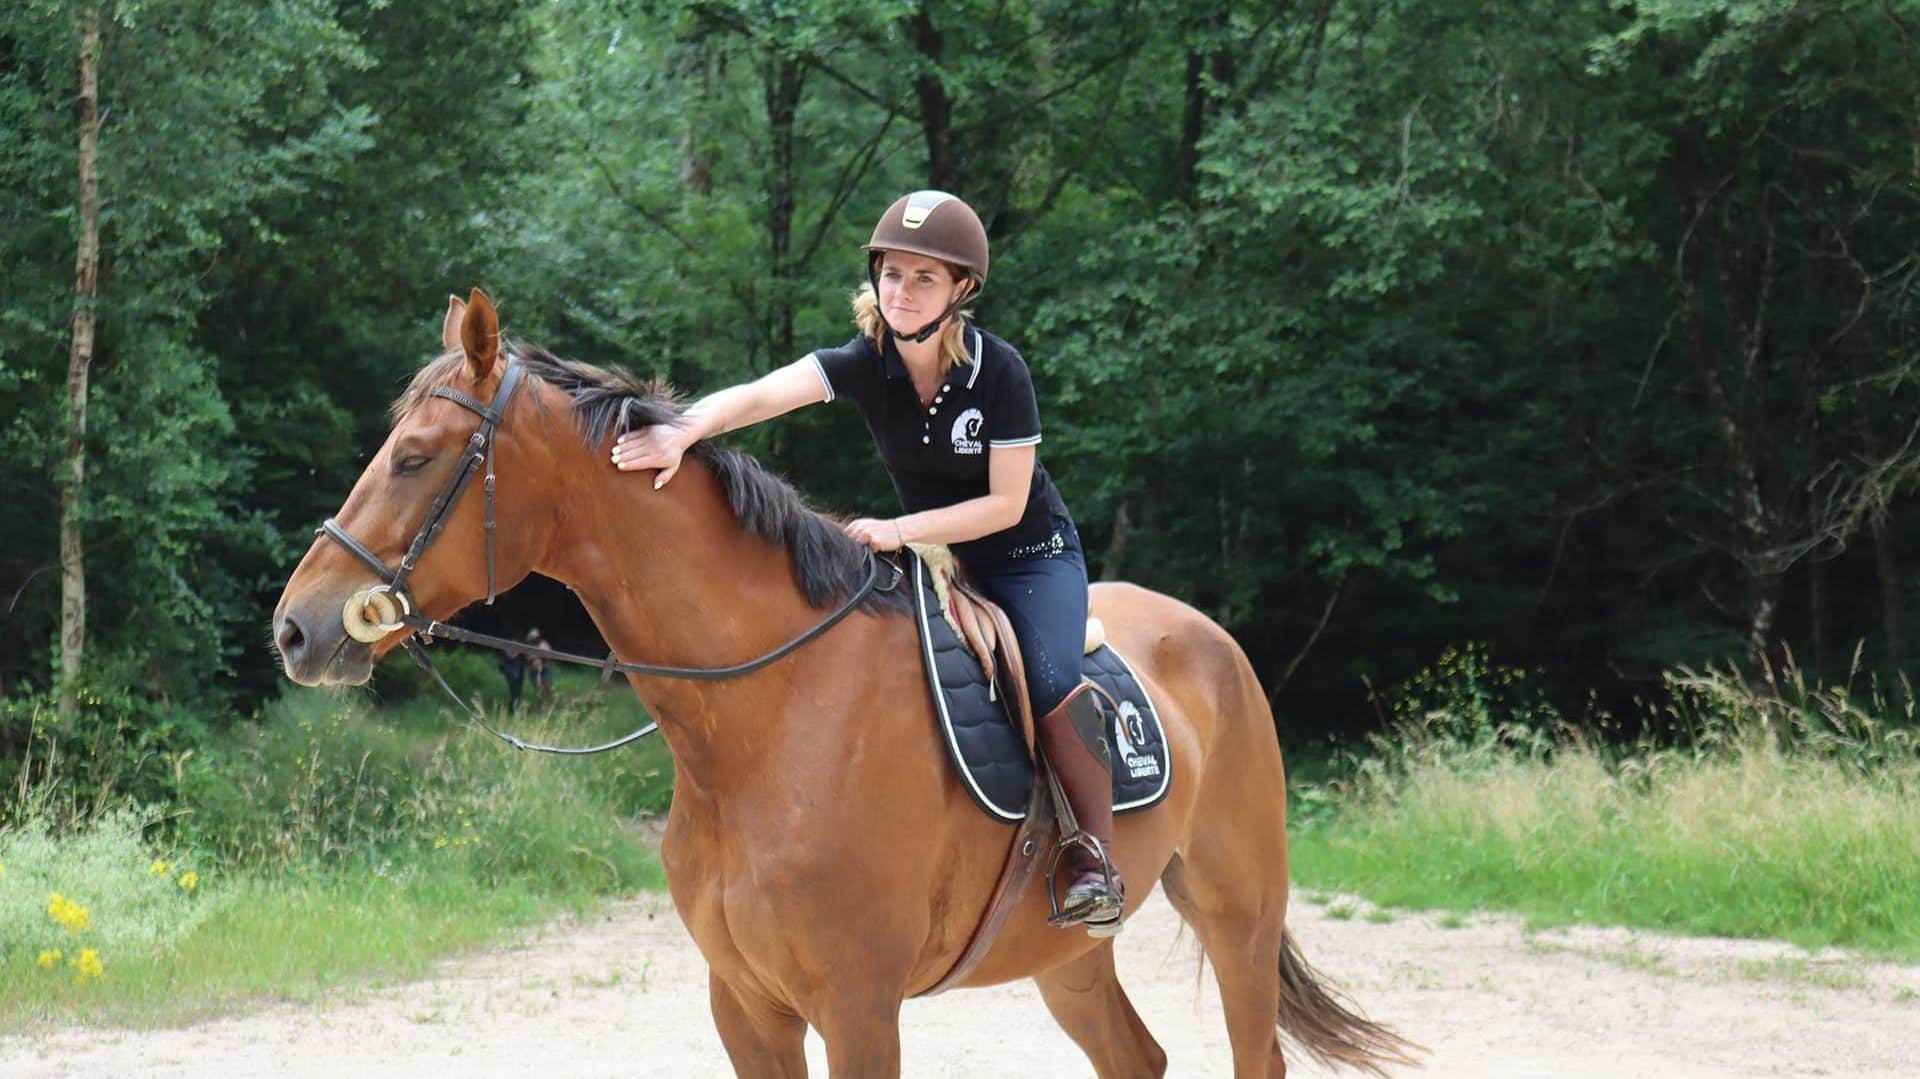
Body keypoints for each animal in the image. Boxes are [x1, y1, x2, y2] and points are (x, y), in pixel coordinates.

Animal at [270, 289, 1420, 1067]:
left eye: (416, 455)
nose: (296, 627)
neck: (768, 723)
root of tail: (1210, 638)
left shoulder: (858, 1005)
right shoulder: (747, 1004)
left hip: (1239, 915)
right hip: (1069, 954)